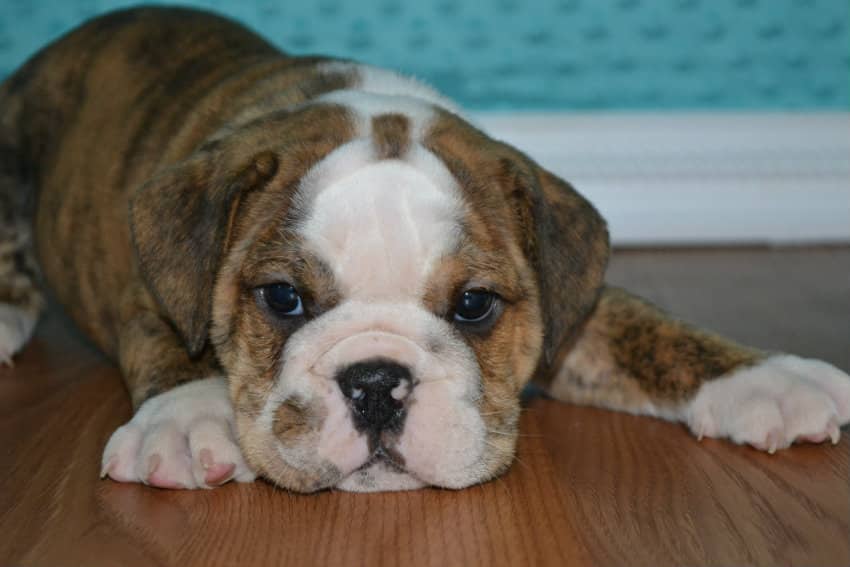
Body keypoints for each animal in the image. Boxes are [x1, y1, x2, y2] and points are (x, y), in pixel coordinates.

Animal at [0, 6, 844, 492]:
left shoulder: (568, 311)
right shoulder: (149, 283)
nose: (377, 382)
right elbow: (168, 337)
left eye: (474, 305)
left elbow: (648, 330)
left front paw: (768, 377)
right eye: (282, 298)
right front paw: (184, 417)